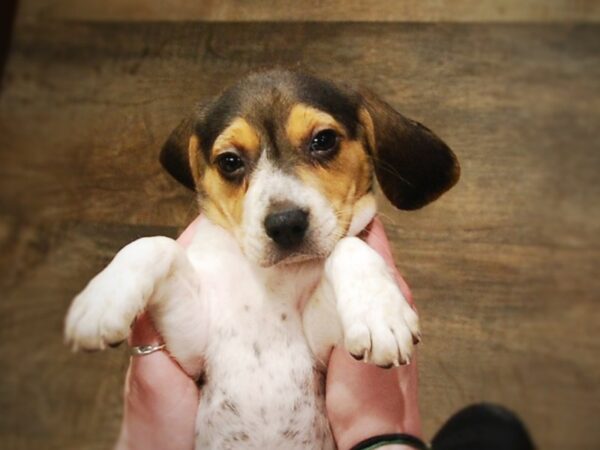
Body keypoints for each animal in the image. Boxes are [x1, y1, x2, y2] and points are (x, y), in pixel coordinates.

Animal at [65, 68, 460, 448]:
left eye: (324, 140)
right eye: (229, 161)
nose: (285, 224)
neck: (273, 279)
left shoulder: (320, 347)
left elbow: (347, 248)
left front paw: (380, 313)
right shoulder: (191, 347)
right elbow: (154, 244)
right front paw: (102, 300)